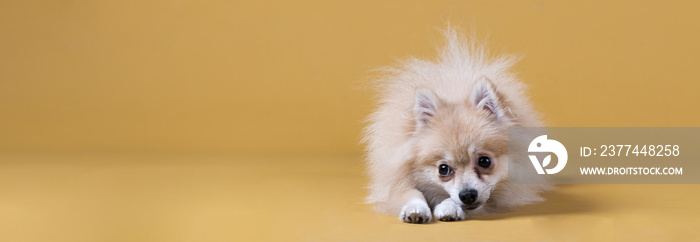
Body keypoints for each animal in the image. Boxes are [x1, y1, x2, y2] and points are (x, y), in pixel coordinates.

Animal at [364, 27, 548, 223]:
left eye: (485, 161)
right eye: (443, 169)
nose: (467, 194)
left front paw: (448, 207)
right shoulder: (393, 182)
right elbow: (409, 192)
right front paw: (415, 208)